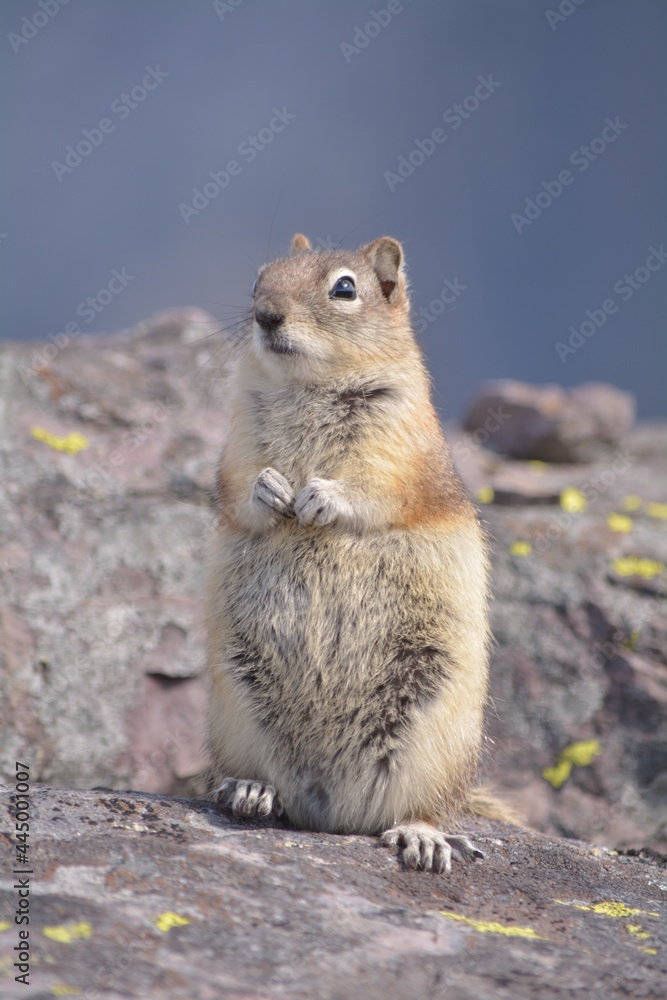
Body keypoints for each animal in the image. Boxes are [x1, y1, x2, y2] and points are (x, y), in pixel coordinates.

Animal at [205, 233, 513, 873]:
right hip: (235, 713)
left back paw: (422, 839)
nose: (265, 315)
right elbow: (237, 488)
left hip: (432, 745)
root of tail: (332, 811)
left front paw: (319, 497)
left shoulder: (398, 443)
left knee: (420, 810)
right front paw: (272, 491)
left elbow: (373, 488)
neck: (309, 386)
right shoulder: (237, 437)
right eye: (259, 278)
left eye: (344, 288)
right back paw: (250, 790)